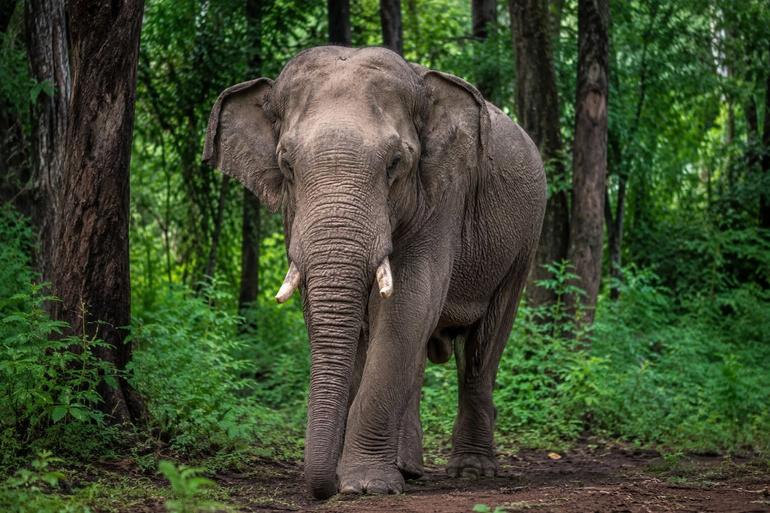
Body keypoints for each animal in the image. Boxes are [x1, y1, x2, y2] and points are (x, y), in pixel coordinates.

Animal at [203, 46, 546, 499]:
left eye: (396, 162)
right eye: (286, 164)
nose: (322, 488)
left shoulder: (443, 195)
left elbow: (408, 303)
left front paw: (365, 486)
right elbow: (335, 313)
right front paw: (359, 479)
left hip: (523, 242)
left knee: (483, 345)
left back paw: (471, 472)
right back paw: (410, 468)